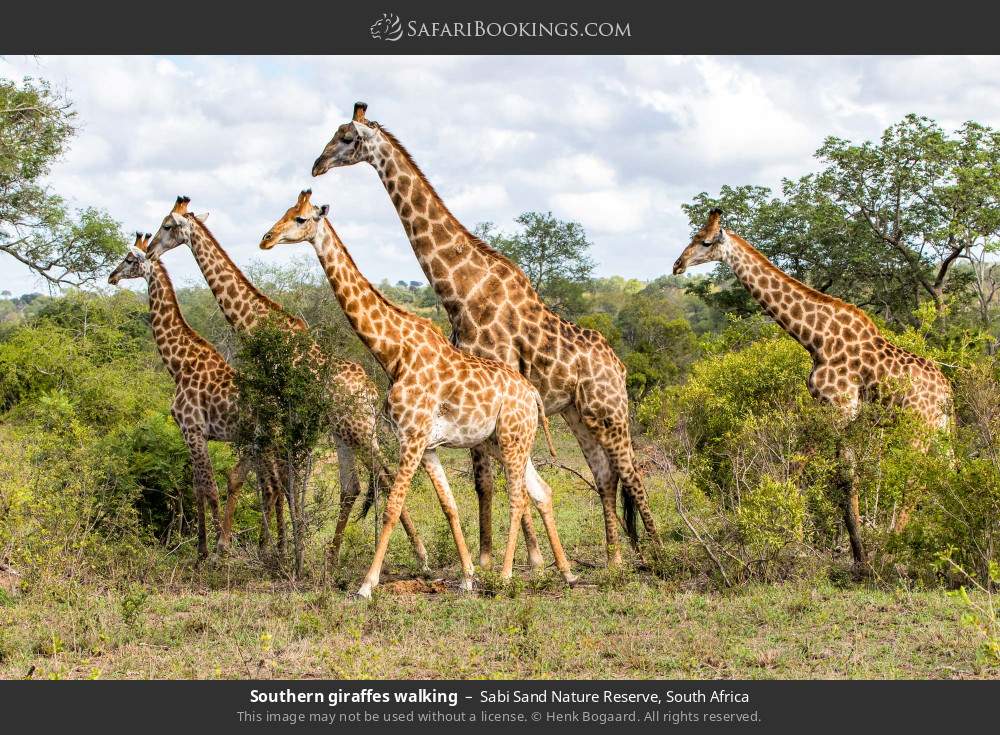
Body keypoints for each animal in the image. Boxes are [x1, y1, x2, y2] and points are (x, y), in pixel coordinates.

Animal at [108, 233, 283, 558]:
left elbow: (210, 488)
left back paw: (273, 548)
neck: (178, 364)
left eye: (129, 259)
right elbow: (197, 488)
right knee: (276, 485)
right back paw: (276, 546)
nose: (111, 276)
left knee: (274, 485)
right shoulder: (188, 433)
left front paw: (218, 550)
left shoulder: (194, 430)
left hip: (262, 440)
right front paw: (201, 550)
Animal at [145, 197, 428, 570]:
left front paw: (276, 552)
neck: (257, 324)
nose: (149, 251)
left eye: (167, 225)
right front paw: (283, 550)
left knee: (385, 475)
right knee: (354, 486)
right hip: (343, 431)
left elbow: (277, 482)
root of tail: (370, 391)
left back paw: (420, 554)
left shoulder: (278, 418)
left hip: (356, 429)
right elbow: (279, 482)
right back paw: (332, 557)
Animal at [259, 190, 578, 598]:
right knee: (541, 490)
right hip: (504, 441)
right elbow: (449, 505)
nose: (266, 238)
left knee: (518, 495)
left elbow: (393, 505)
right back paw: (566, 573)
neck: (393, 352)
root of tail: (532, 394)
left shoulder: (411, 438)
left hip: (511, 438)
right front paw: (467, 578)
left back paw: (508, 576)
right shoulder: (427, 447)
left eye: (300, 218)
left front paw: (366, 585)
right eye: (285, 211)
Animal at [311, 102, 662, 568]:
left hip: (610, 411)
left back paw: (657, 554)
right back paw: (613, 559)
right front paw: (498, 557)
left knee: (633, 473)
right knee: (605, 476)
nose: (316, 165)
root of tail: (620, 366)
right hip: (578, 413)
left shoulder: (494, 379)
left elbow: (498, 479)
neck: (461, 289)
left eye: (347, 137)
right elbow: (486, 481)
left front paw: (517, 559)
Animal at [673, 208, 953, 564]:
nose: (677, 265)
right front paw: (854, 549)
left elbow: (804, 468)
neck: (814, 338)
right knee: (946, 472)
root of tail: (947, 391)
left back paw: (896, 543)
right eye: (693, 237)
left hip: (918, 427)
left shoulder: (839, 408)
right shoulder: (841, 412)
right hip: (940, 430)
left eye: (705, 241)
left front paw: (788, 533)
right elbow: (845, 478)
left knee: (915, 478)